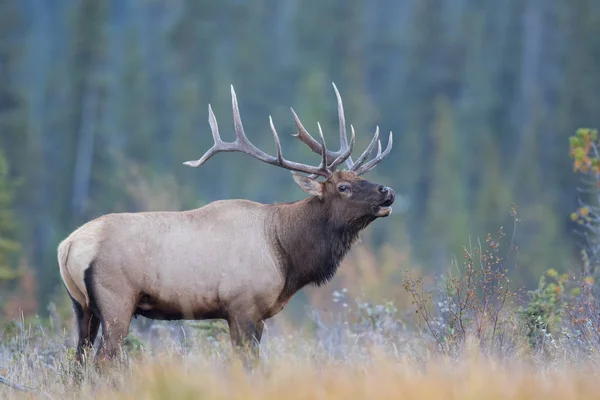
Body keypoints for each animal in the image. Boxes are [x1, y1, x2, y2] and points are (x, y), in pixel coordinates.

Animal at [56, 83, 394, 364]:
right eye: (343, 187)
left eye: (358, 178)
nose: (387, 191)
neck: (286, 254)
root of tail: (67, 246)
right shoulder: (243, 305)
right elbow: (247, 364)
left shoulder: (256, 315)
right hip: (116, 301)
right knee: (102, 362)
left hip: (81, 307)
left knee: (78, 363)